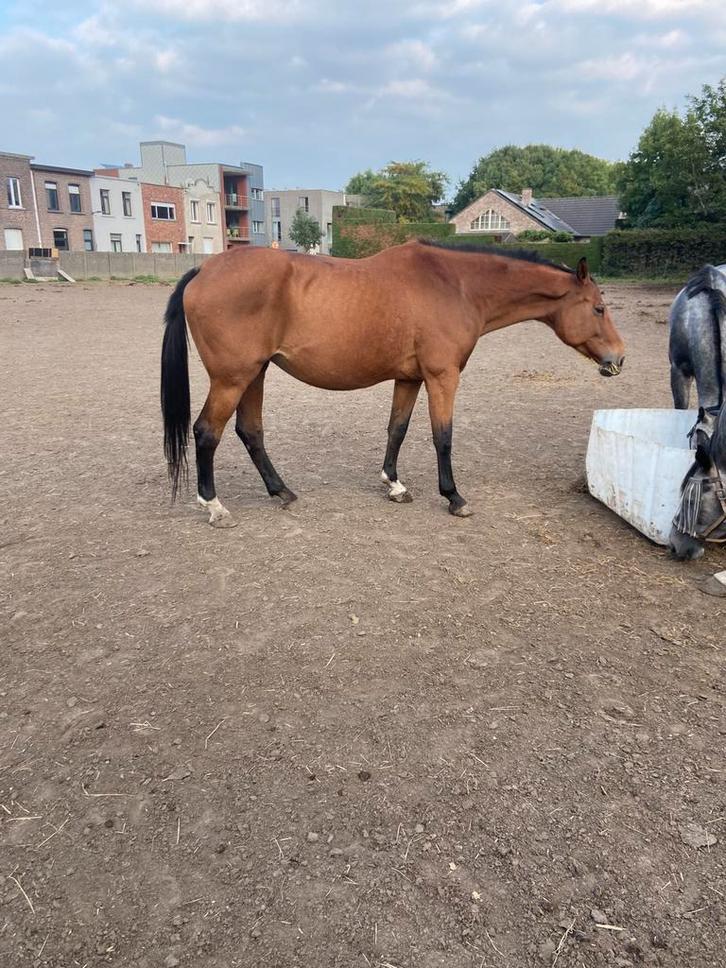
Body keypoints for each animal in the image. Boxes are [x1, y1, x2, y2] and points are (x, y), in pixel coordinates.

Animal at [161, 240, 625, 528]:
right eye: (599, 308)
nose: (618, 359)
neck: (456, 286)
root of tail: (203, 270)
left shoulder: (409, 378)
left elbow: (397, 430)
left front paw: (394, 484)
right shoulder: (442, 377)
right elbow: (443, 437)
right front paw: (454, 497)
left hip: (254, 374)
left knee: (249, 431)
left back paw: (282, 491)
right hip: (233, 378)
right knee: (207, 433)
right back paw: (215, 507)